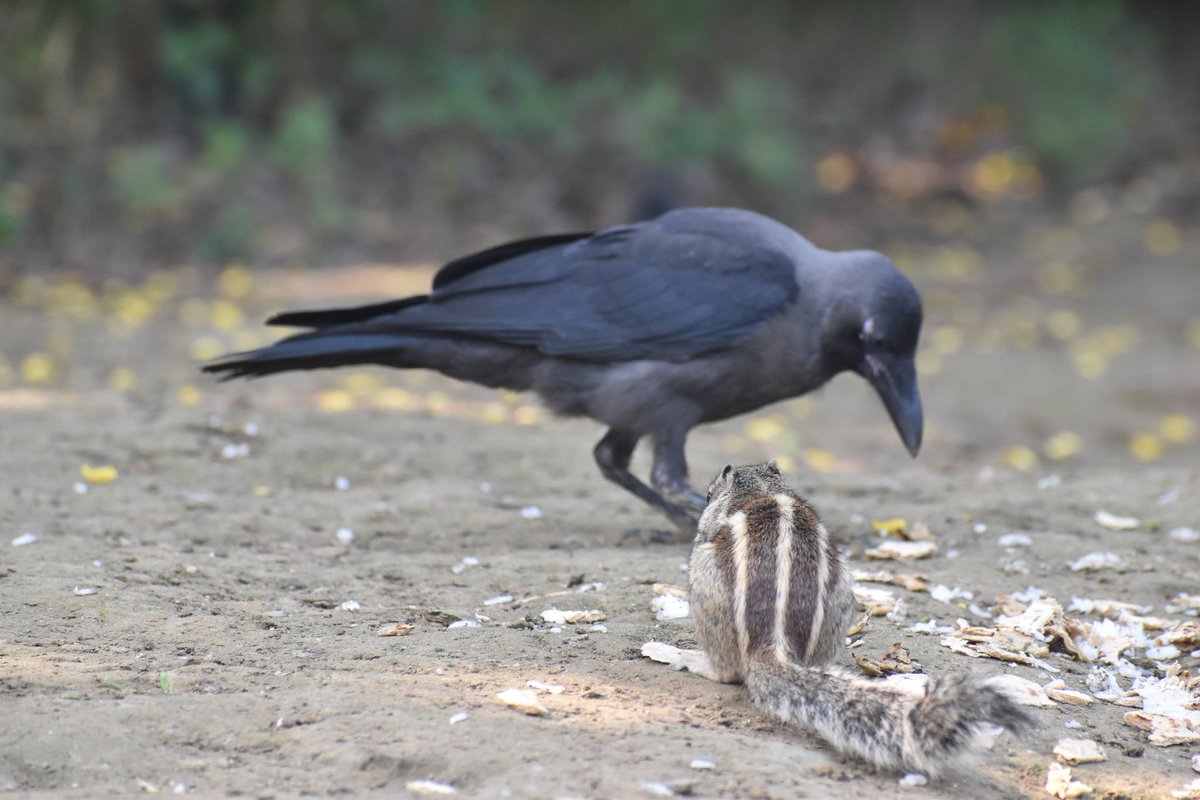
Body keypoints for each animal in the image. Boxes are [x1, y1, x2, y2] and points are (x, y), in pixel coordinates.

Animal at [688, 461, 1030, 777]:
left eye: (708, 494)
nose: (704, 497)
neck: (761, 489)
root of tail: (773, 640)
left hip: (704, 581)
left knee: (728, 672)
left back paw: (692, 661)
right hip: (841, 594)